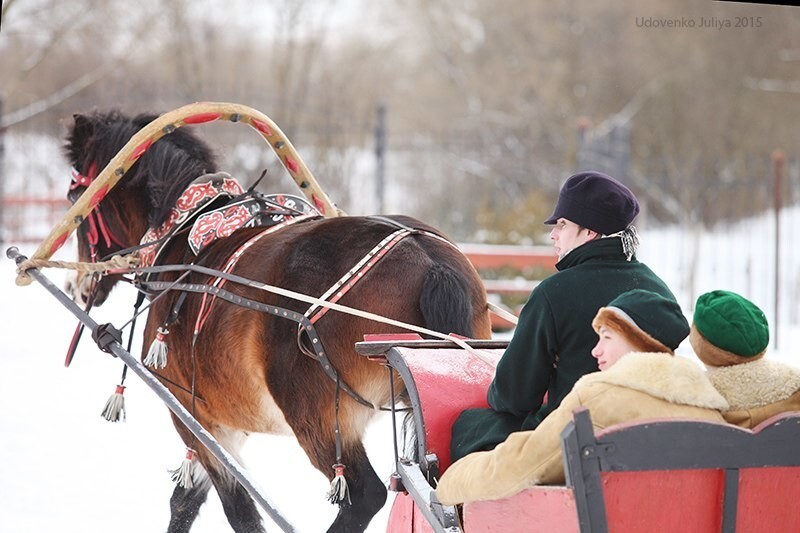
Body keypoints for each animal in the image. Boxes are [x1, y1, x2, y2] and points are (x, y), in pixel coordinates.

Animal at [62, 110, 490, 528]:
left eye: (73, 193)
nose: (76, 285)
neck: (185, 238)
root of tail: (429, 262)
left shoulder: (192, 414)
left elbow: (236, 508)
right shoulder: (224, 421)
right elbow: (185, 501)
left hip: (318, 415)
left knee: (364, 494)